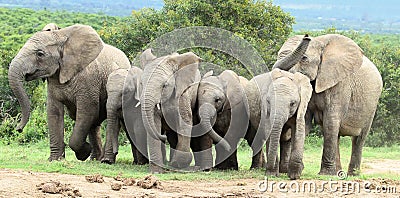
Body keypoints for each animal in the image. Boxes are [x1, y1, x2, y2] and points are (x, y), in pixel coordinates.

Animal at [7, 24, 130, 162]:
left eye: (40, 54)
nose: (18, 129)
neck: (61, 36)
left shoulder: (88, 79)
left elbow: (87, 111)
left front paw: (83, 152)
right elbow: (54, 112)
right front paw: (55, 160)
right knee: (95, 123)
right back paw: (94, 159)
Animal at [274, 34, 382, 176]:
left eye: (304, 58)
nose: (306, 36)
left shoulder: (340, 85)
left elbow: (330, 122)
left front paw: (324, 174)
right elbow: (305, 121)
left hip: (371, 106)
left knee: (358, 139)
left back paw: (352, 174)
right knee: (336, 135)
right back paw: (338, 174)